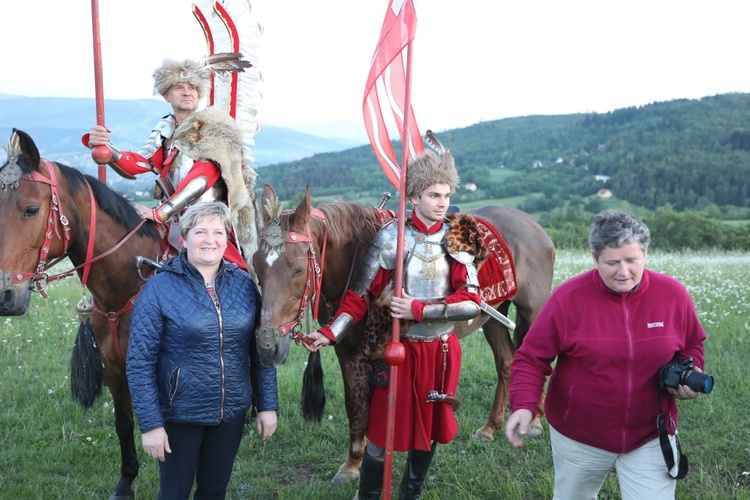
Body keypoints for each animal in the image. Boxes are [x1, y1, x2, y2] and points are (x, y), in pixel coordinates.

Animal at [0, 130, 164, 500]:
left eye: (31, 209)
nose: (4, 296)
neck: (129, 284)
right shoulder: (114, 368)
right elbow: (124, 423)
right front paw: (125, 482)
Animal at [256, 185, 556, 484]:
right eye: (258, 268)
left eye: (297, 269)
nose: (268, 345)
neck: (355, 253)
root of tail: (533, 226)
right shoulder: (347, 350)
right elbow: (355, 403)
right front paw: (352, 464)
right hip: (493, 318)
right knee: (506, 363)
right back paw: (491, 427)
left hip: (533, 312)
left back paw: (535, 421)